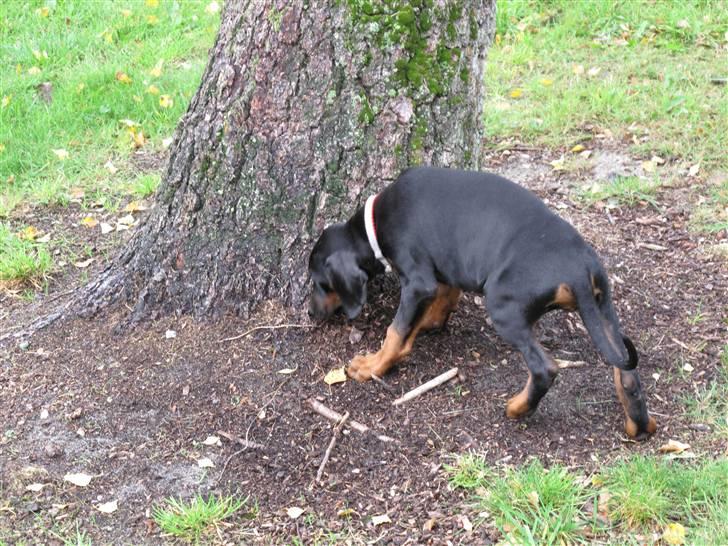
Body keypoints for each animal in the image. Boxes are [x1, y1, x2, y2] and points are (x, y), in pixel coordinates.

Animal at [308, 166, 656, 438]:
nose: (310, 314)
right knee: (626, 371)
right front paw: (430, 322)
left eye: (319, 282)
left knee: (544, 367)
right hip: (602, 308)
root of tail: (580, 268)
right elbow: (445, 295)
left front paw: (373, 366)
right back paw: (640, 425)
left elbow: (396, 332)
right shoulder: (443, 268)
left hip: (503, 308)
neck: (374, 223)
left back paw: (518, 408)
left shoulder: (417, 282)